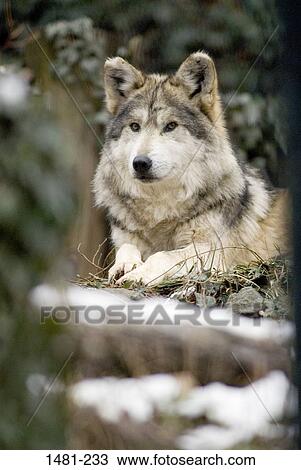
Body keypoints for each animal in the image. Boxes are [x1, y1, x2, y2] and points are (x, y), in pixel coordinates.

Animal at [92, 51, 288, 286]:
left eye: (171, 126)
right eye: (134, 126)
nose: (140, 163)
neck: (160, 210)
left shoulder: (213, 251)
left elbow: (162, 256)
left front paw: (138, 275)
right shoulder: (126, 238)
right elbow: (126, 248)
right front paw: (124, 265)